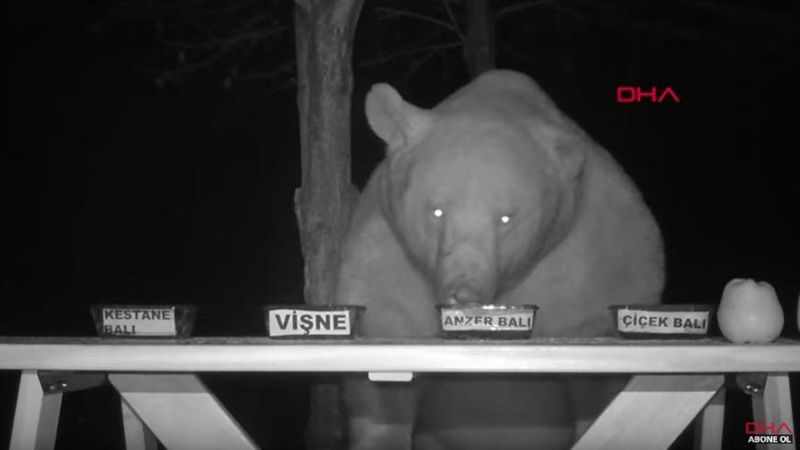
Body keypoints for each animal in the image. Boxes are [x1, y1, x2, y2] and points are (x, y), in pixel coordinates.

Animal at [334, 70, 664, 450]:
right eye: (436, 210)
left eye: (506, 218)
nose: (464, 293)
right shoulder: (389, 250)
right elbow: (387, 353)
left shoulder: (594, 255)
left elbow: (597, 372)